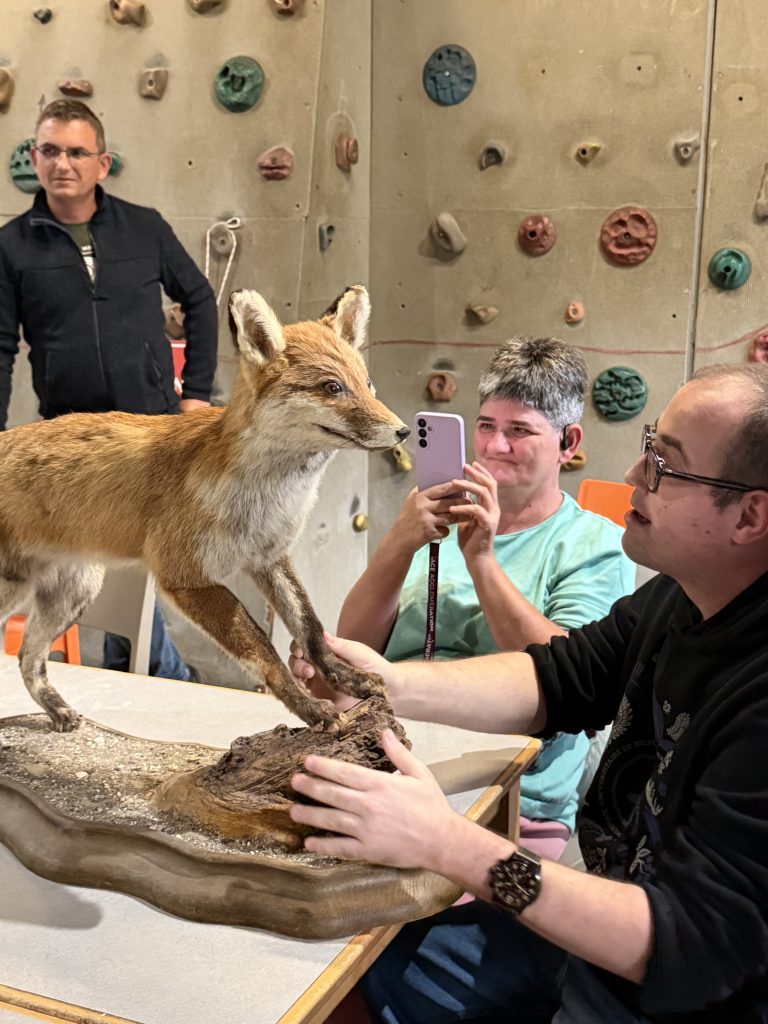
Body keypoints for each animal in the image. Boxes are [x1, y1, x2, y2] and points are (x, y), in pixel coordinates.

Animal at [0, 285, 409, 733]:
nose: (404, 430)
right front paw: (310, 708)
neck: (268, 497)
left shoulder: (269, 557)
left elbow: (311, 628)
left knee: (28, 660)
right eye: (333, 388)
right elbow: (264, 653)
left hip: (75, 592)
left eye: (367, 384)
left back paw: (57, 711)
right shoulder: (184, 577)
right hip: (19, 592)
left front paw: (346, 676)